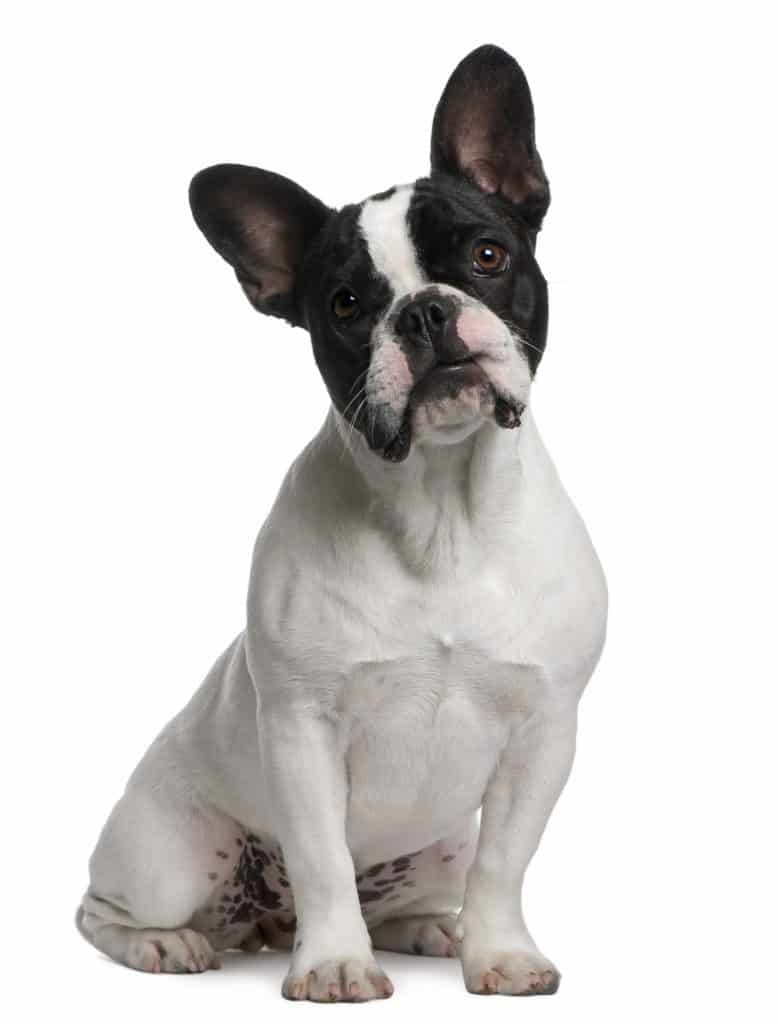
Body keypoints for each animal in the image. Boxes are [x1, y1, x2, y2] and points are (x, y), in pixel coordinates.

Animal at [77, 44, 606, 995]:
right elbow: (322, 858)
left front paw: (500, 954)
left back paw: (434, 929)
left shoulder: (545, 732)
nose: (424, 309)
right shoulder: (301, 729)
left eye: (487, 253)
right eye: (347, 306)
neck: (442, 510)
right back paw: (167, 945)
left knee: (420, 889)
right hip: (171, 855)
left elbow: (506, 862)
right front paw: (333, 966)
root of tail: (260, 921)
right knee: (106, 911)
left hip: (437, 847)